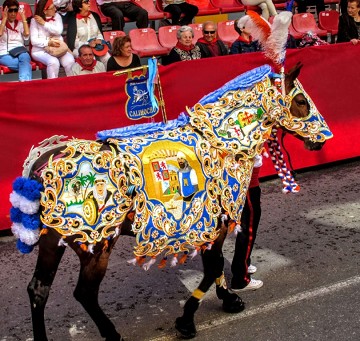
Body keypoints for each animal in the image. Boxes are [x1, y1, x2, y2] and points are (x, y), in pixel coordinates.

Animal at [9, 61, 332, 340]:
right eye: (301, 100)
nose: (321, 141)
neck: (219, 142)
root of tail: (47, 162)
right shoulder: (217, 222)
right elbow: (213, 266)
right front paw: (187, 319)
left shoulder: (209, 223)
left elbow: (214, 264)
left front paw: (228, 298)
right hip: (96, 245)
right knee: (84, 292)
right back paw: (112, 334)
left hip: (54, 240)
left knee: (38, 290)